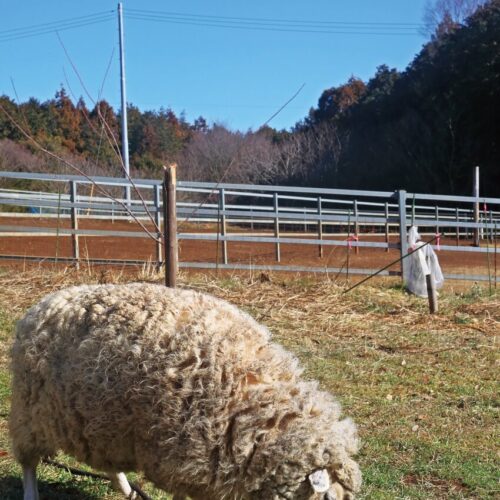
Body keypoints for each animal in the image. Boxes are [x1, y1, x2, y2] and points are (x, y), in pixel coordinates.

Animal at [7, 284, 360, 500]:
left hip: (100, 421)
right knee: (28, 463)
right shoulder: (181, 458)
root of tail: (42, 304)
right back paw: (31, 493)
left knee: (107, 461)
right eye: (327, 497)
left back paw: (127, 489)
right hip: (31, 411)